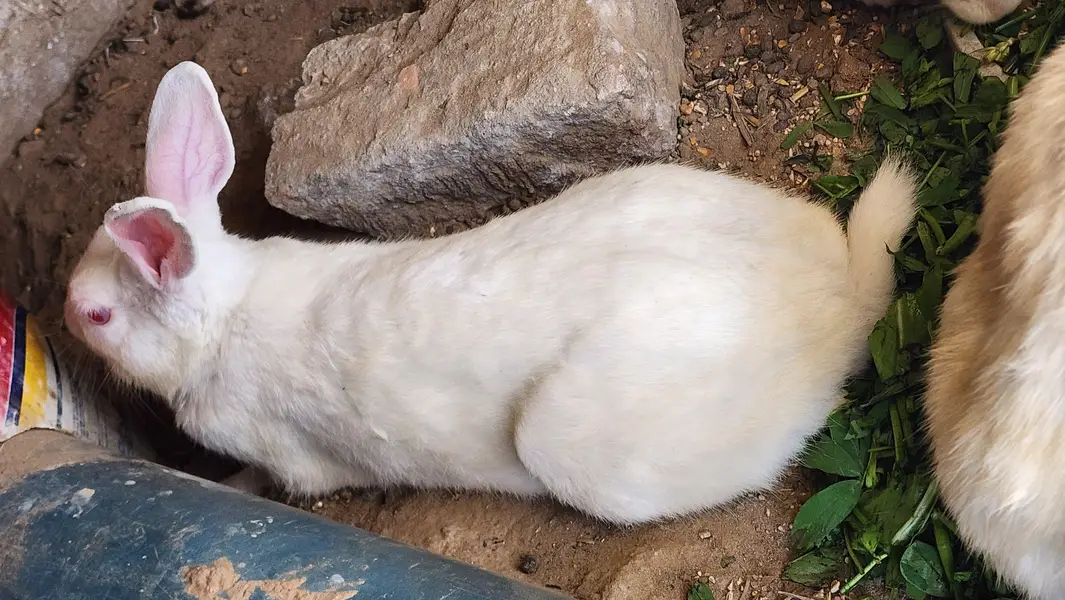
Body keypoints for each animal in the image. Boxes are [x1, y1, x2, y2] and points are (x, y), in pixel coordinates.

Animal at [63, 61, 917, 524]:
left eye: (100, 314)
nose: (68, 311)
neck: (219, 318)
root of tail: (835, 300)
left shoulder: (288, 458)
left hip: (578, 449)